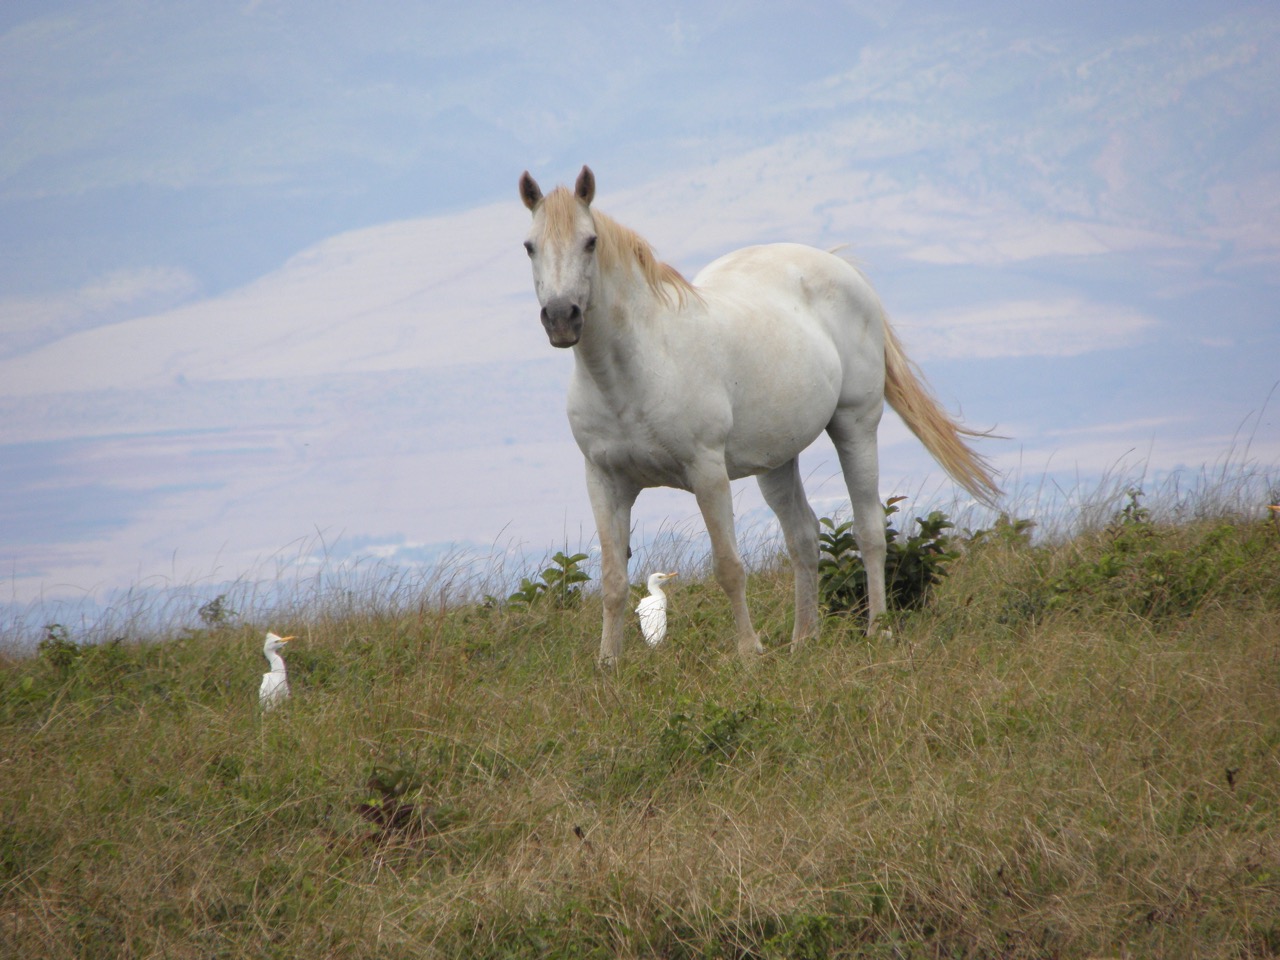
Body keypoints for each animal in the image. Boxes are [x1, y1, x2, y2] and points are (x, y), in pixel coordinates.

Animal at [519, 165, 998, 665]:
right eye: (529, 245)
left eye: (590, 241)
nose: (561, 317)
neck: (634, 371)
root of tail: (841, 268)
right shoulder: (605, 482)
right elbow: (613, 580)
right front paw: (608, 663)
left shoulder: (706, 473)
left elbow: (728, 567)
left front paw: (749, 651)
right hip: (777, 461)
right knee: (803, 537)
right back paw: (803, 639)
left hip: (855, 426)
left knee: (869, 530)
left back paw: (877, 630)